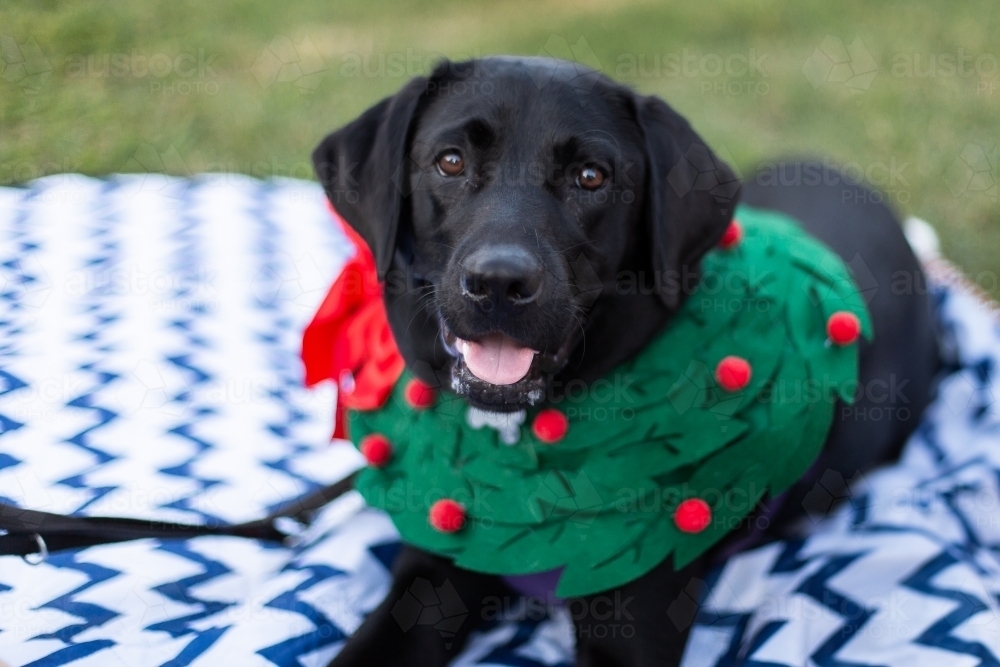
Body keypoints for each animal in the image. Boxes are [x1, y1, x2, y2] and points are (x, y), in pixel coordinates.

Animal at [312, 57, 936, 667]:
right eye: (450, 161)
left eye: (591, 176)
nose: (498, 282)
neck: (518, 435)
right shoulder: (432, 572)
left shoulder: (629, 622)